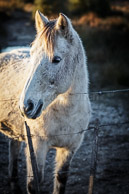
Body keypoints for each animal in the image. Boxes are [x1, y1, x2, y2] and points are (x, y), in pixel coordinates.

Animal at [0, 11, 90, 194]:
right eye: (32, 54)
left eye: (56, 59)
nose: (25, 106)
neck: (67, 114)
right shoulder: (37, 146)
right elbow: (34, 184)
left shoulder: (69, 149)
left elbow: (61, 180)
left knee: (13, 146)